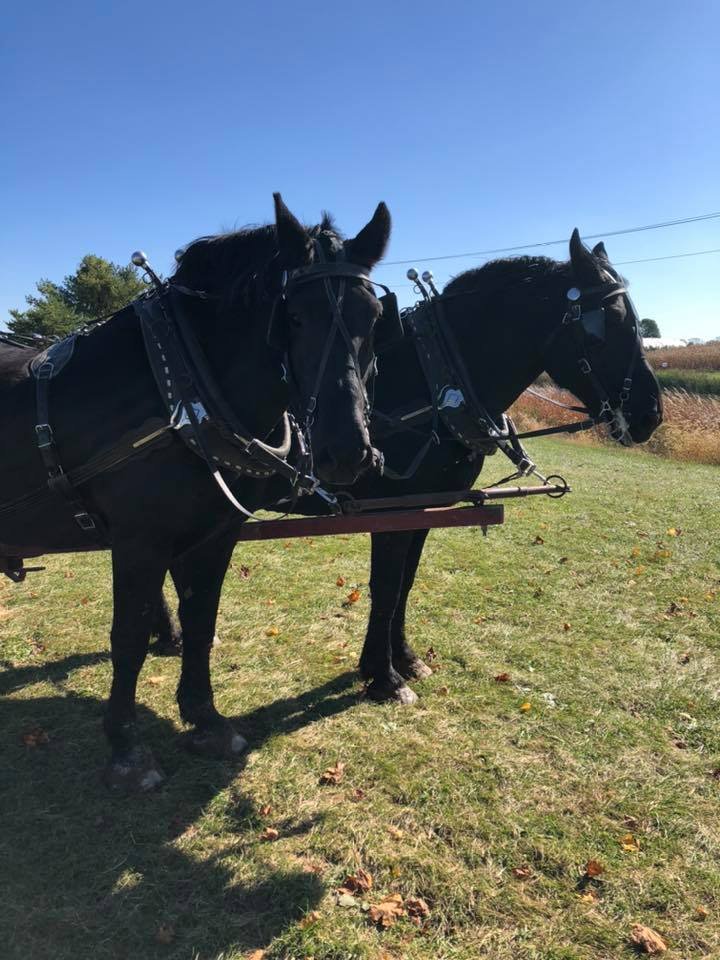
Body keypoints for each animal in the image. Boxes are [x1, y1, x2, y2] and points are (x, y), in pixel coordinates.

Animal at [0, 193, 393, 789]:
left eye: (372, 318)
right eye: (294, 317)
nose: (346, 452)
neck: (181, 386)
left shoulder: (212, 535)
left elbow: (201, 621)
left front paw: (205, 719)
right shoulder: (139, 542)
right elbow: (129, 638)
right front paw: (126, 748)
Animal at [156, 229, 663, 709]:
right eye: (605, 325)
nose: (651, 414)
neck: (431, 382)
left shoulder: (426, 509)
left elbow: (405, 584)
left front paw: (404, 658)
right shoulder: (392, 511)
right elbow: (385, 586)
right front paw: (383, 677)